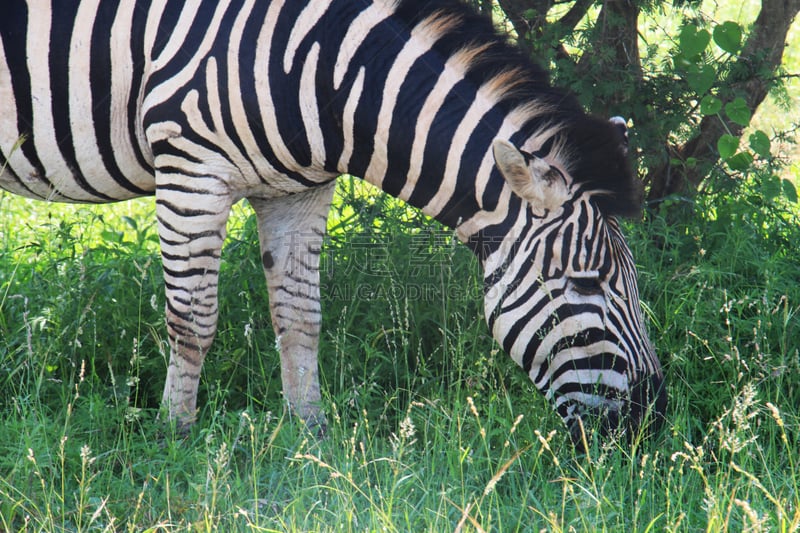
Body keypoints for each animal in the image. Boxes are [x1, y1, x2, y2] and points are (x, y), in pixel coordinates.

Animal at [0, 0, 664, 444]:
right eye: (587, 284)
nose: (652, 420)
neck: (323, 75)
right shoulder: (191, 167)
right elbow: (192, 318)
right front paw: (175, 435)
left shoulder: (300, 193)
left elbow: (301, 317)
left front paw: (311, 436)